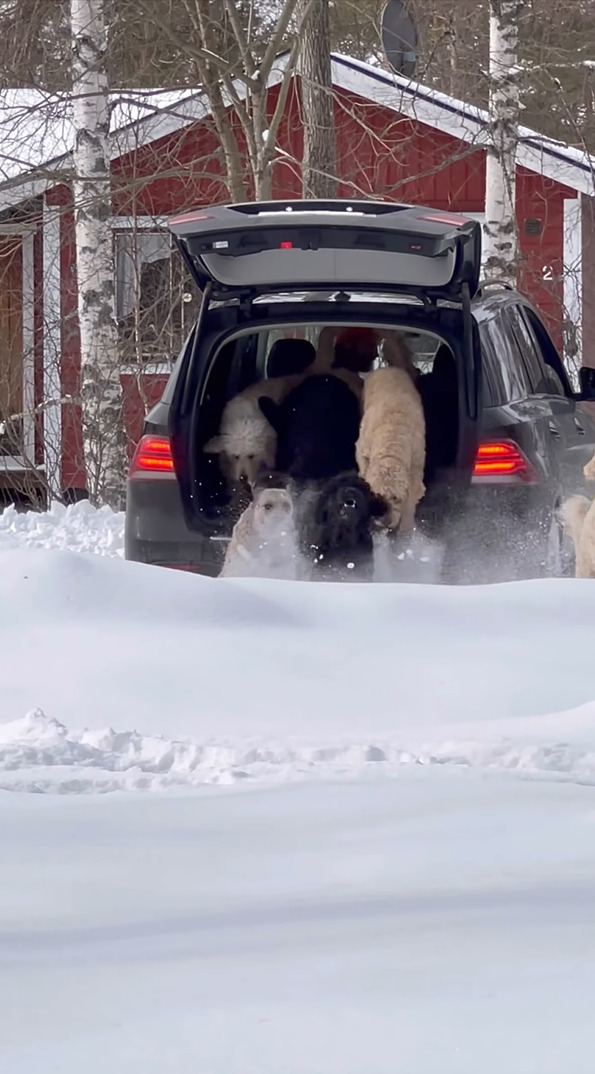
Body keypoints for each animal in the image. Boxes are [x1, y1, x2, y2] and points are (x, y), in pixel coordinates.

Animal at [354, 367, 423, 534]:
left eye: (396, 499)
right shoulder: (360, 448)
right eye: (377, 497)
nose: (384, 521)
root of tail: (386, 367)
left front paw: (406, 529)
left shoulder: (417, 465)